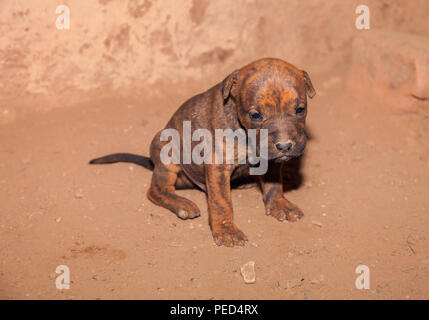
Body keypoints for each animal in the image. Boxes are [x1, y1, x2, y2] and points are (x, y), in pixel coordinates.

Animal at [89, 58, 314, 248]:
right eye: (255, 115)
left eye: (300, 109)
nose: (284, 145)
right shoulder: (218, 166)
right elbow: (221, 202)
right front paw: (226, 230)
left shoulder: (271, 159)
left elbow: (274, 185)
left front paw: (280, 205)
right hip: (167, 153)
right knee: (156, 190)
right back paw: (182, 203)